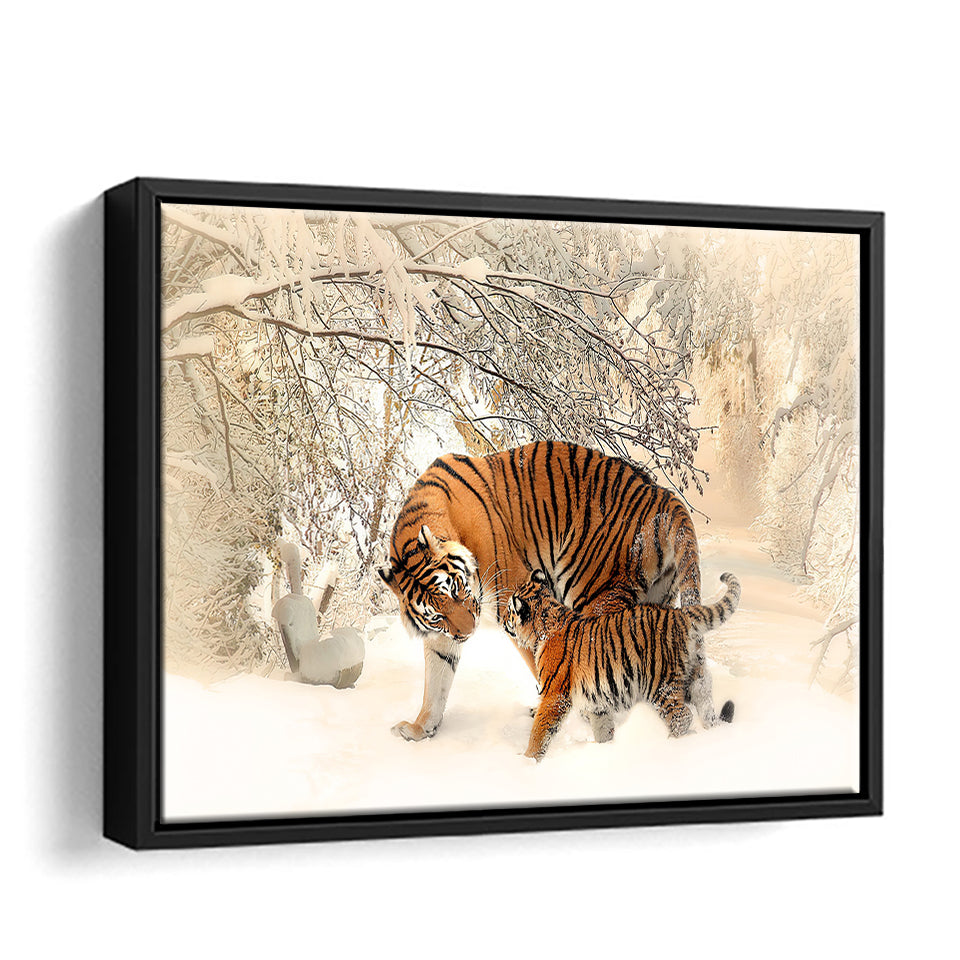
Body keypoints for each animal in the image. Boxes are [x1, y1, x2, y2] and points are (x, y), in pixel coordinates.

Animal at [378, 440, 719, 743]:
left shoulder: (515, 601)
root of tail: (663, 495)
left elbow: (542, 663)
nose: (469, 632)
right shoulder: (442, 635)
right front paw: (420, 728)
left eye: (458, 590)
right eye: (436, 616)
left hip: (594, 593)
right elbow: (435, 682)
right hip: (655, 601)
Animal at [503, 571, 740, 761]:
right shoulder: (596, 700)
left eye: (509, 611)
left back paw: (670, 744)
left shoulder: (554, 696)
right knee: (704, 703)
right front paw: (605, 749)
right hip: (695, 675)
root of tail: (679, 613)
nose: (503, 619)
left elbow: (540, 732)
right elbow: (602, 728)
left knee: (682, 716)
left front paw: (527, 761)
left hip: (659, 683)